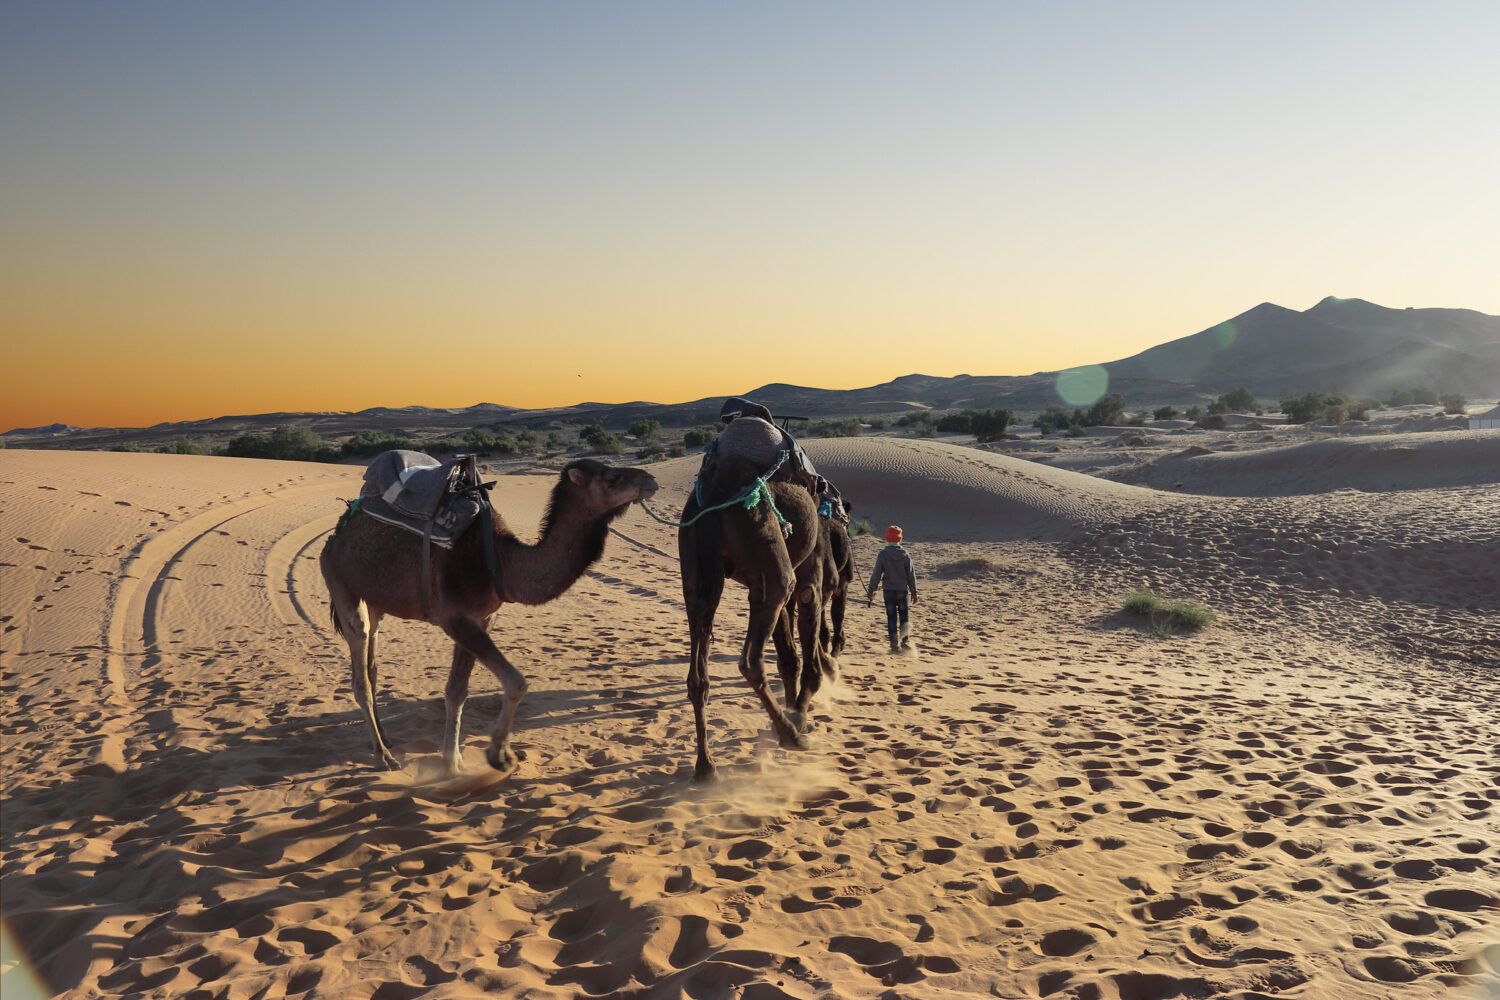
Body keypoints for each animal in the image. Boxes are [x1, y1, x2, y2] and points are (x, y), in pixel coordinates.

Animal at [322, 458, 657, 779]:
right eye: (611, 478)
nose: (650, 479)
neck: (501, 563)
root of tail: (337, 533)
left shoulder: (482, 617)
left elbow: (457, 691)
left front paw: (452, 762)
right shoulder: (455, 618)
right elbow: (516, 682)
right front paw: (498, 755)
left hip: (375, 599)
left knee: (372, 663)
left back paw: (385, 740)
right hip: (339, 582)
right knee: (360, 665)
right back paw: (383, 756)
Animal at [678, 452, 840, 779]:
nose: (836, 580)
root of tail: (714, 490)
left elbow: (788, 657)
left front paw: (795, 712)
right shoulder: (811, 571)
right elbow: (806, 653)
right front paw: (800, 714)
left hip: (695, 570)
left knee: (697, 677)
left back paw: (706, 767)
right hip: (766, 546)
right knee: (751, 661)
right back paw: (792, 737)